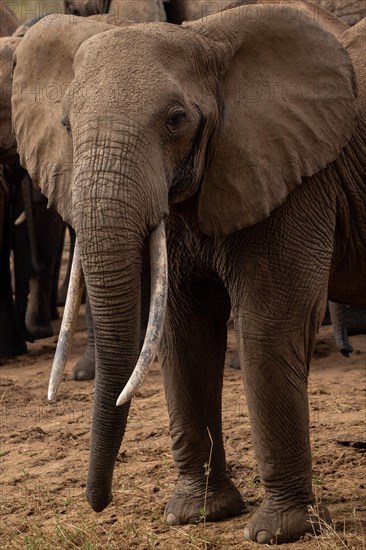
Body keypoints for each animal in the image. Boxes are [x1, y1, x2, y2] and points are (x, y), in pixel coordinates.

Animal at [11, 4, 366, 548]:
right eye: (67, 124)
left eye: (176, 120)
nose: (99, 503)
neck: (208, 44)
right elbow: (184, 333)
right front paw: (194, 515)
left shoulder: (298, 179)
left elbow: (269, 327)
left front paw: (279, 530)